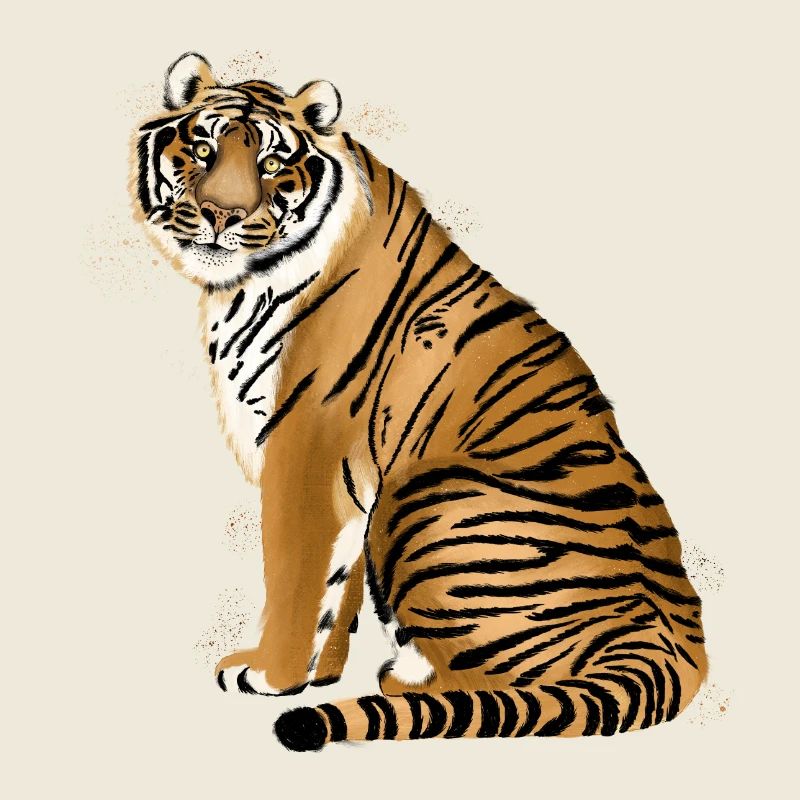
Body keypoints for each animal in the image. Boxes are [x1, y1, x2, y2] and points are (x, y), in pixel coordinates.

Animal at [132, 52, 708, 751]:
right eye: (203, 148)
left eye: (270, 163)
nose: (220, 214)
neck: (241, 286)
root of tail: (672, 635)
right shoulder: (348, 481)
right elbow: (335, 583)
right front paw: (319, 674)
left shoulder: (304, 448)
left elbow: (294, 571)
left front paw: (270, 676)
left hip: (424, 491)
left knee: (502, 695)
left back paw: (403, 680)